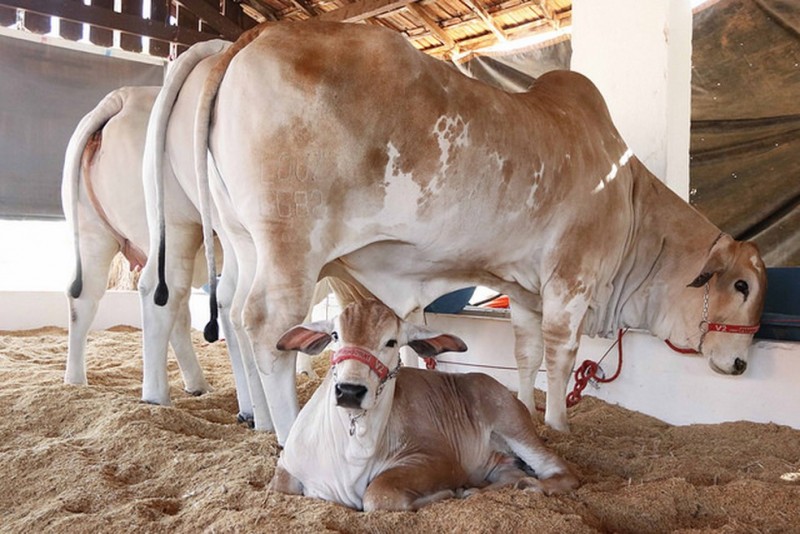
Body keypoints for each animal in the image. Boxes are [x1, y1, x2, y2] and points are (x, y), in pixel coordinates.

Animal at [180, 23, 764, 446]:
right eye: (742, 286)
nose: (740, 365)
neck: (630, 196)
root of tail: (259, 34)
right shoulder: (570, 280)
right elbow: (561, 356)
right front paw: (559, 425)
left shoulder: (527, 290)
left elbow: (526, 354)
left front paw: (525, 410)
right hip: (291, 244)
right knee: (266, 326)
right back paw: (286, 433)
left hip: (245, 241)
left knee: (234, 313)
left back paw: (258, 421)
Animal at [272, 300, 580, 512]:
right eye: (335, 335)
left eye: (391, 342)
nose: (349, 390)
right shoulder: (288, 464)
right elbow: (280, 487)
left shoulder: (437, 461)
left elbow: (378, 494)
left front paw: (447, 493)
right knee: (511, 472)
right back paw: (479, 490)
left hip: (515, 427)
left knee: (562, 470)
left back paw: (530, 485)